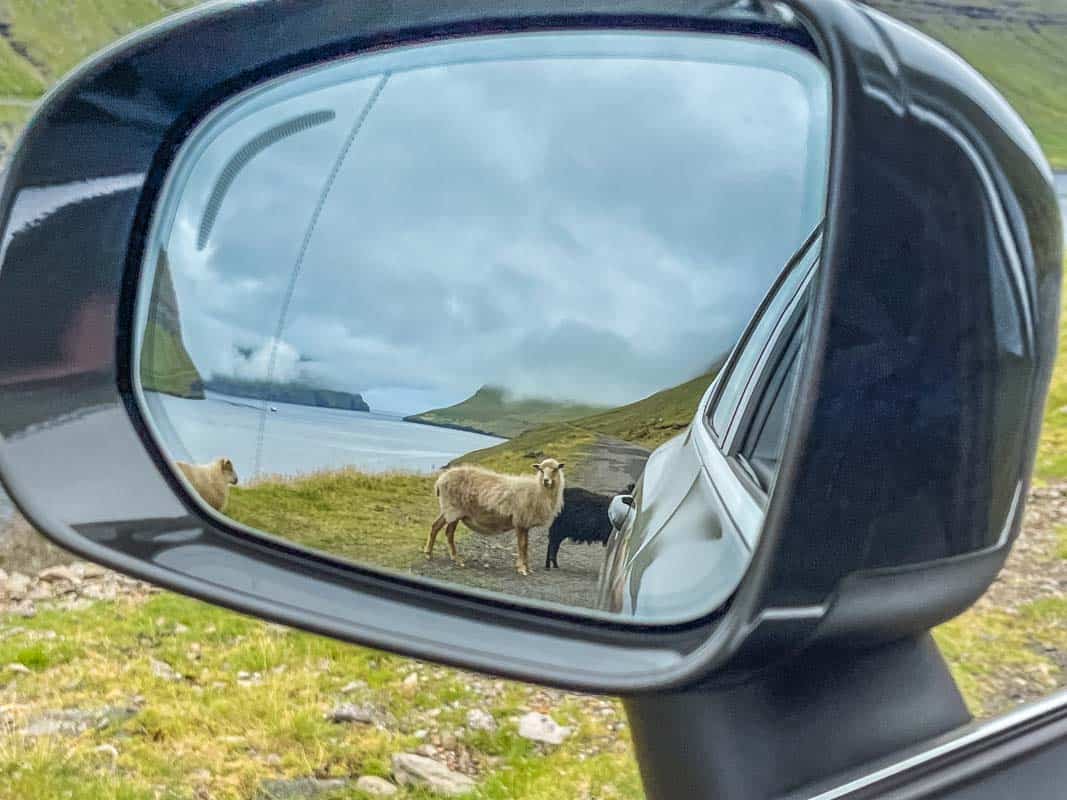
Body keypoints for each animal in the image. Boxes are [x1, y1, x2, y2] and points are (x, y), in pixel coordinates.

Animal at [428, 456, 571, 576]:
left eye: (555, 469)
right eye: (541, 470)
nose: (546, 481)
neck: (537, 491)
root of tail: (441, 479)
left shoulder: (525, 523)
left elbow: (526, 546)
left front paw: (528, 568)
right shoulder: (520, 521)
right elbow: (522, 545)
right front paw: (522, 568)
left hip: (447, 509)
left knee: (435, 526)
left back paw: (429, 553)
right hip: (454, 510)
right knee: (449, 533)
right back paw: (456, 559)